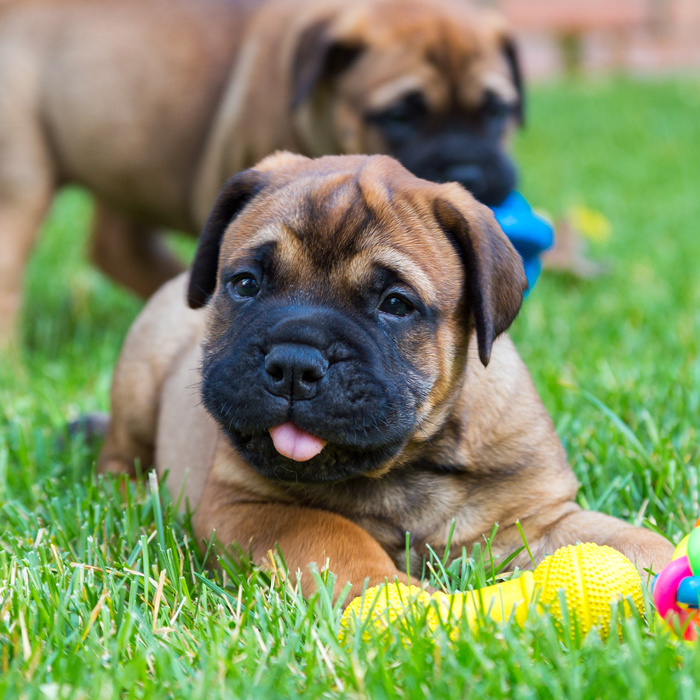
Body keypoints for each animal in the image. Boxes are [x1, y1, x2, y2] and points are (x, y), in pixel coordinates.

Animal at [98, 154, 672, 600]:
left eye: (395, 304)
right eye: (245, 284)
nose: (295, 363)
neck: (407, 463)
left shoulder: (537, 517)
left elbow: (633, 540)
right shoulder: (247, 506)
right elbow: (332, 534)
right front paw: (397, 599)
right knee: (118, 456)